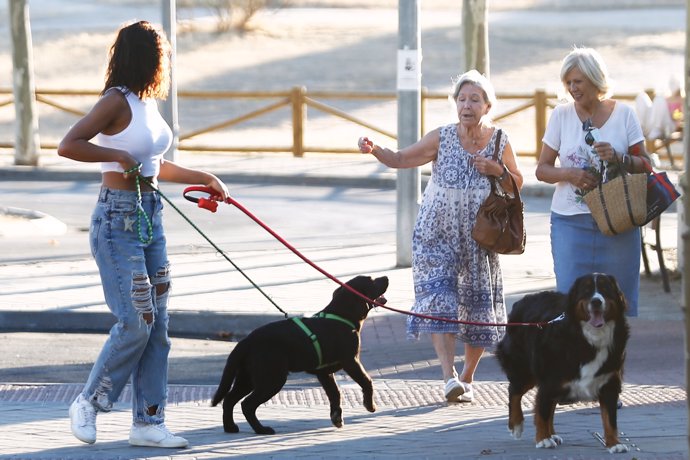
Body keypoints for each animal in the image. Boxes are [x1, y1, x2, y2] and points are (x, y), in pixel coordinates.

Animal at [212, 276, 388, 434]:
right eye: (372, 280)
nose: (386, 277)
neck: (342, 316)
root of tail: (245, 342)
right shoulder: (351, 361)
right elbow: (367, 381)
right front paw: (370, 406)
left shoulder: (324, 372)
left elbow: (335, 393)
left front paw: (336, 417)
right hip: (271, 379)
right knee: (247, 404)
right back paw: (261, 429)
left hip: (248, 377)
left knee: (229, 399)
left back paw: (230, 427)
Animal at [494, 274, 628, 452]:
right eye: (586, 291)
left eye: (605, 289)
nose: (596, 301)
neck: (590, 340)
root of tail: (522, 301)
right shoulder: (549, 380)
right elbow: (542, 412)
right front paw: (543, 439)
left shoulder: (609, 382)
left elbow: (610, 418)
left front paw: (614, 444)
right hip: (524, 370)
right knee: (514, 392)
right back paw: (516, 425)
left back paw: (552, 434)